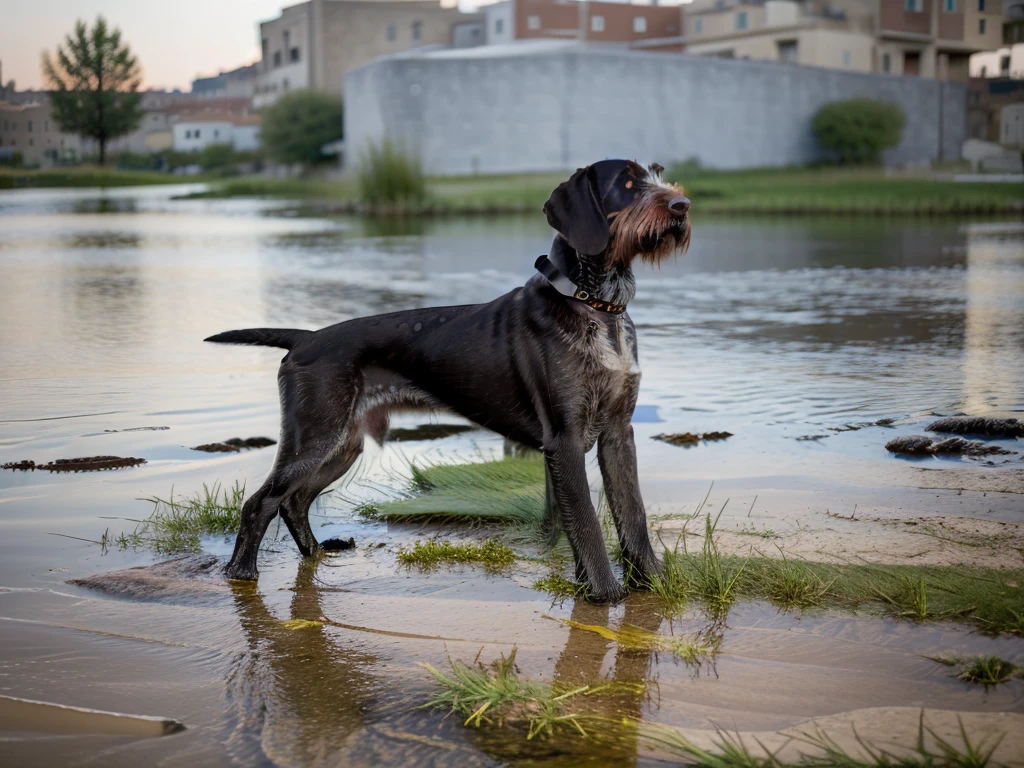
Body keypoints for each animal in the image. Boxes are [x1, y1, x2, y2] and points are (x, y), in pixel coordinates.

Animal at [206, 159, 688, 606]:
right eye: (627, 183)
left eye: (659, 173)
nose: (682, 206)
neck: (595, 306)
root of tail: (305, 338)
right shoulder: (564, 440)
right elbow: (586, 523)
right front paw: (605, 595)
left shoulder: (617, 433)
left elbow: (633, 515)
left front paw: (650, 585)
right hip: (315, 436)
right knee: (261, 503)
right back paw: (241, 574)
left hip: (343, 444)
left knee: (294, 501)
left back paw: (314, 556)